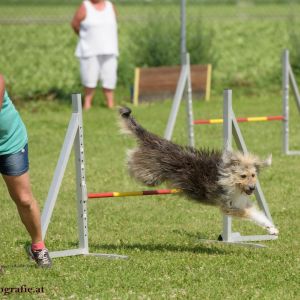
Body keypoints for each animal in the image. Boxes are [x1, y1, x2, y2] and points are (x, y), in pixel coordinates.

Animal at [118, 106, 278, 236]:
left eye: (253, 175)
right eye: (243, 176)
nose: (252, 188)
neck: (227, 178)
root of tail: (153, 140)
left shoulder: (240, 201)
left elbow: (256, 214)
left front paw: (271, 227)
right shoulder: (227, 205)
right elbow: (245, 212)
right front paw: (270, 228)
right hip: (149, 174)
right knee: (132, 160)